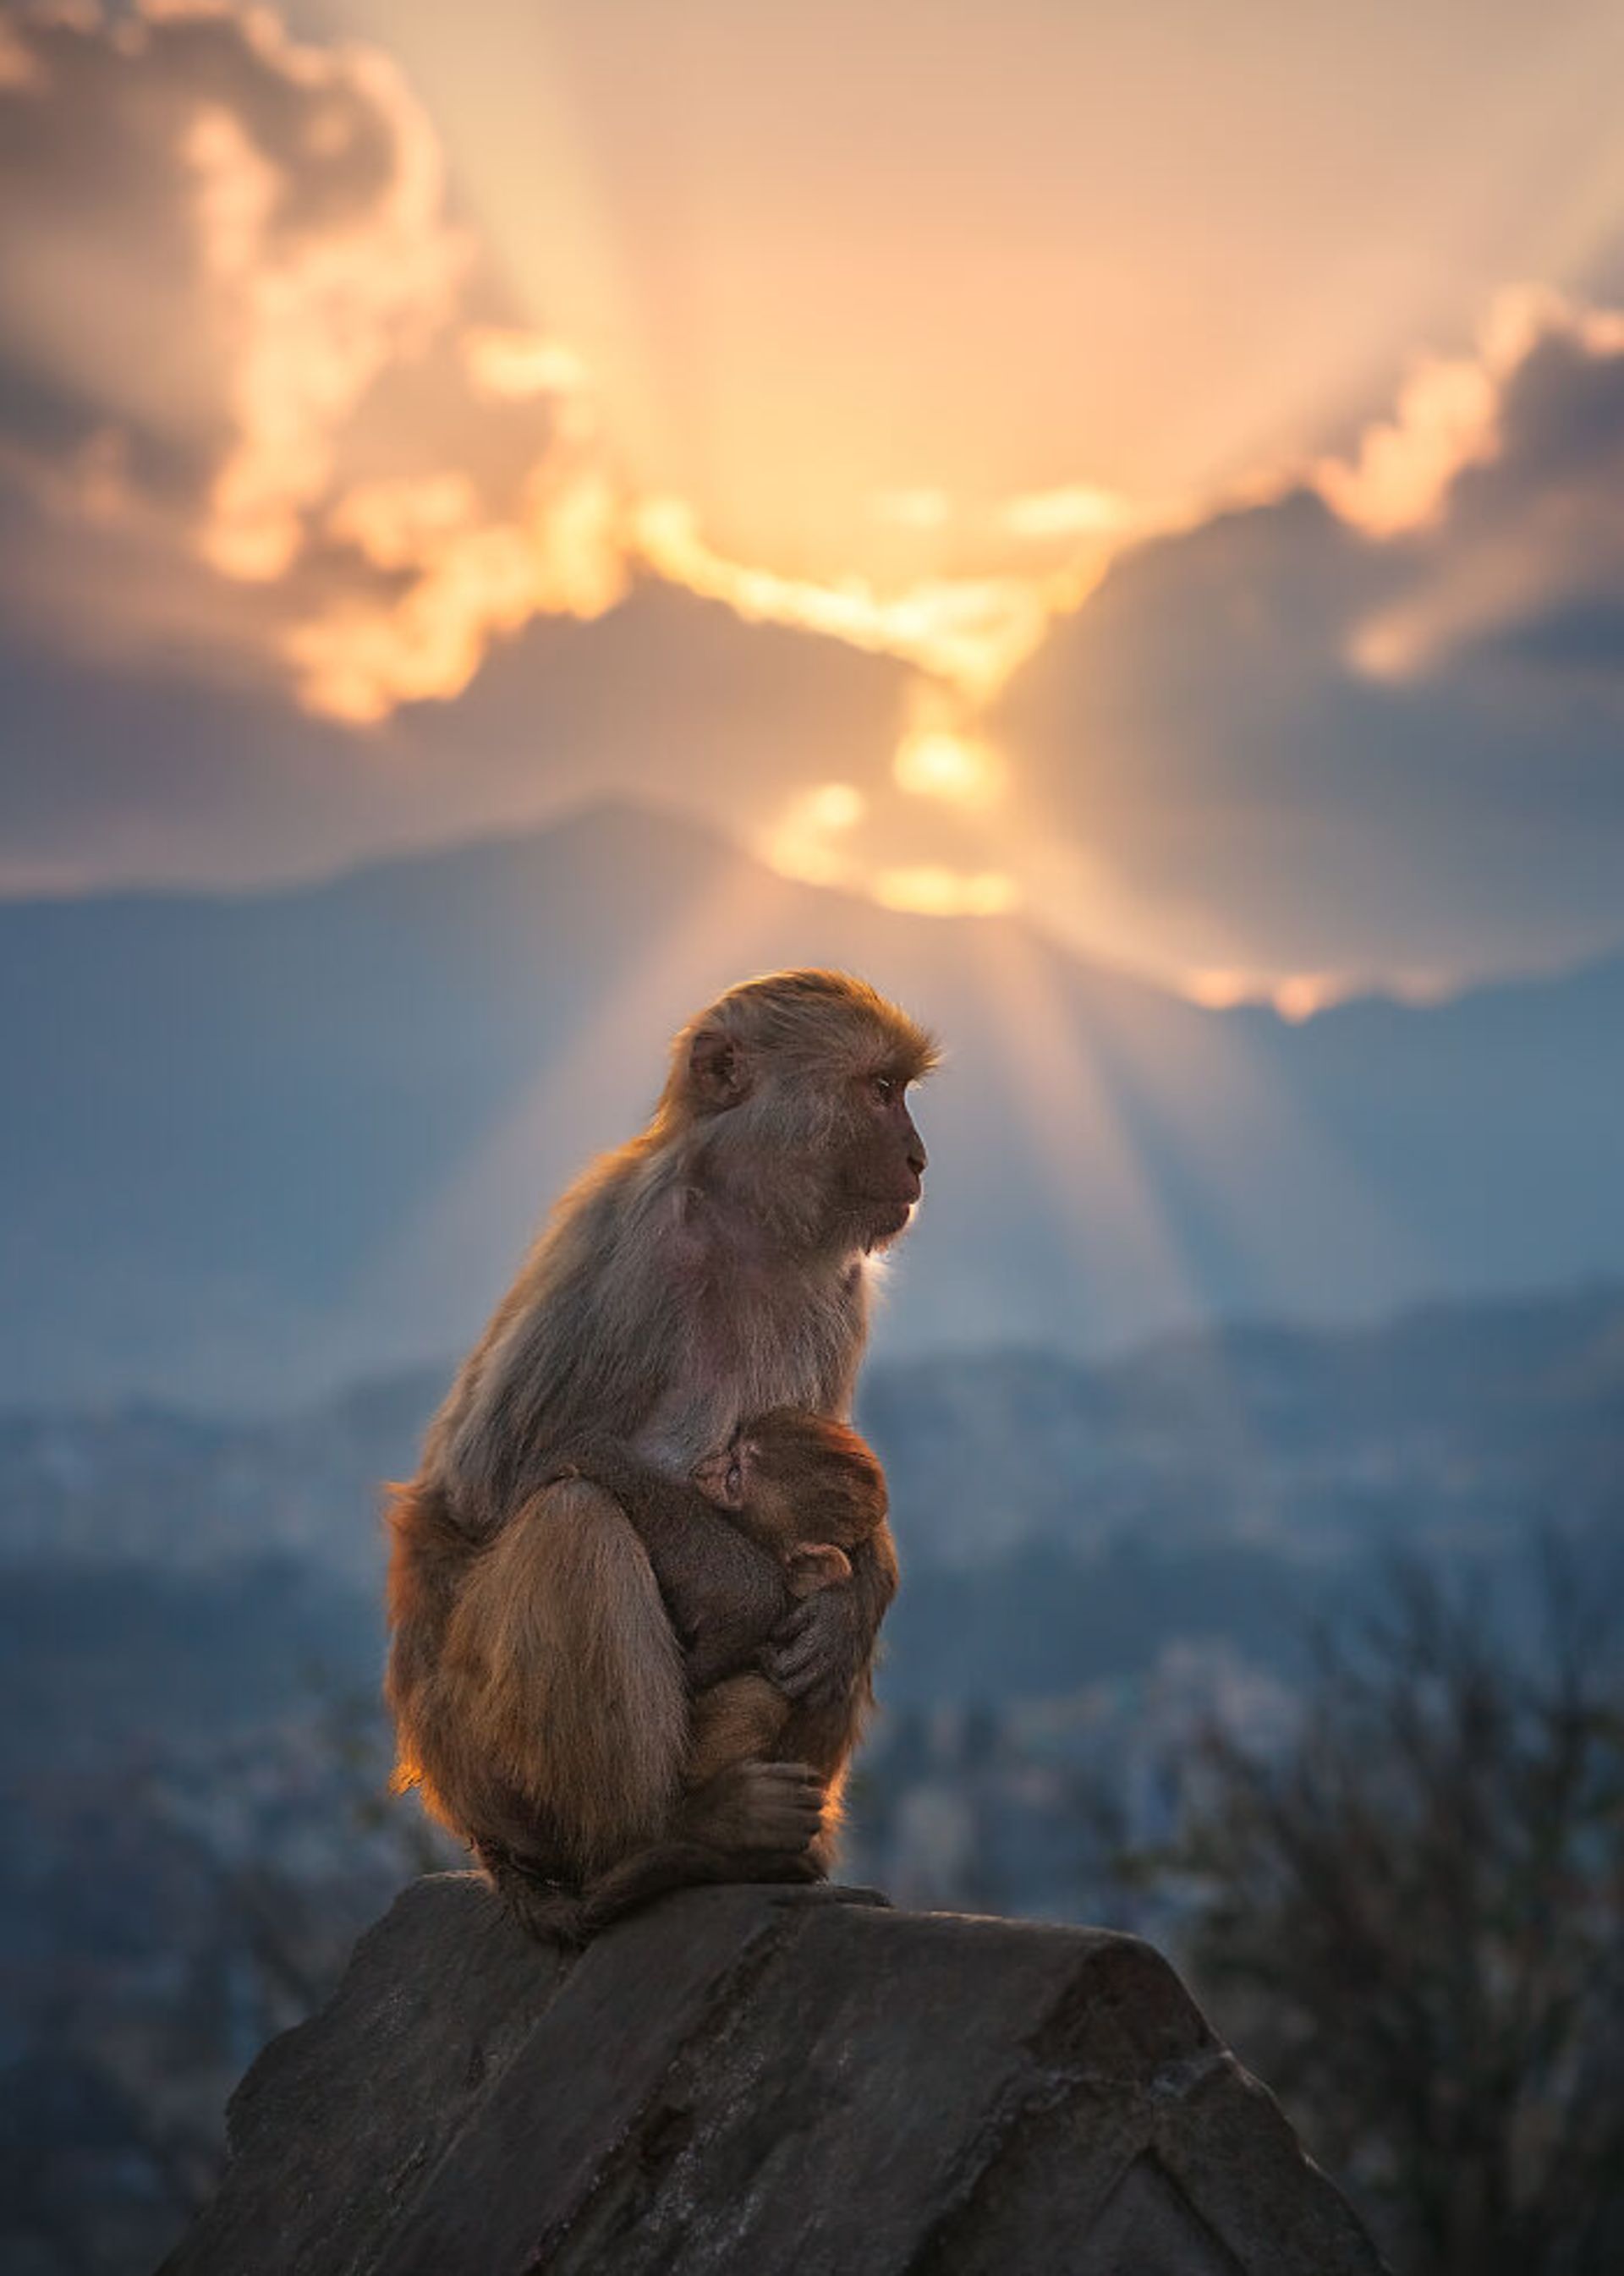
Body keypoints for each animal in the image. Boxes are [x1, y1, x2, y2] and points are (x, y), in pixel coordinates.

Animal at [382, 973, 938, 1939]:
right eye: (879, 1090)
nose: (918, 1158)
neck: (749, 1225)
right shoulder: (631, 1242)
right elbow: (495, 1473)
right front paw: (747, 1588)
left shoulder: (841, 1292)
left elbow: (846, 1495)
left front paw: (853, 1600)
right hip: (485, 1759)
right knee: (573, 1521)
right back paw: (666, 1841)